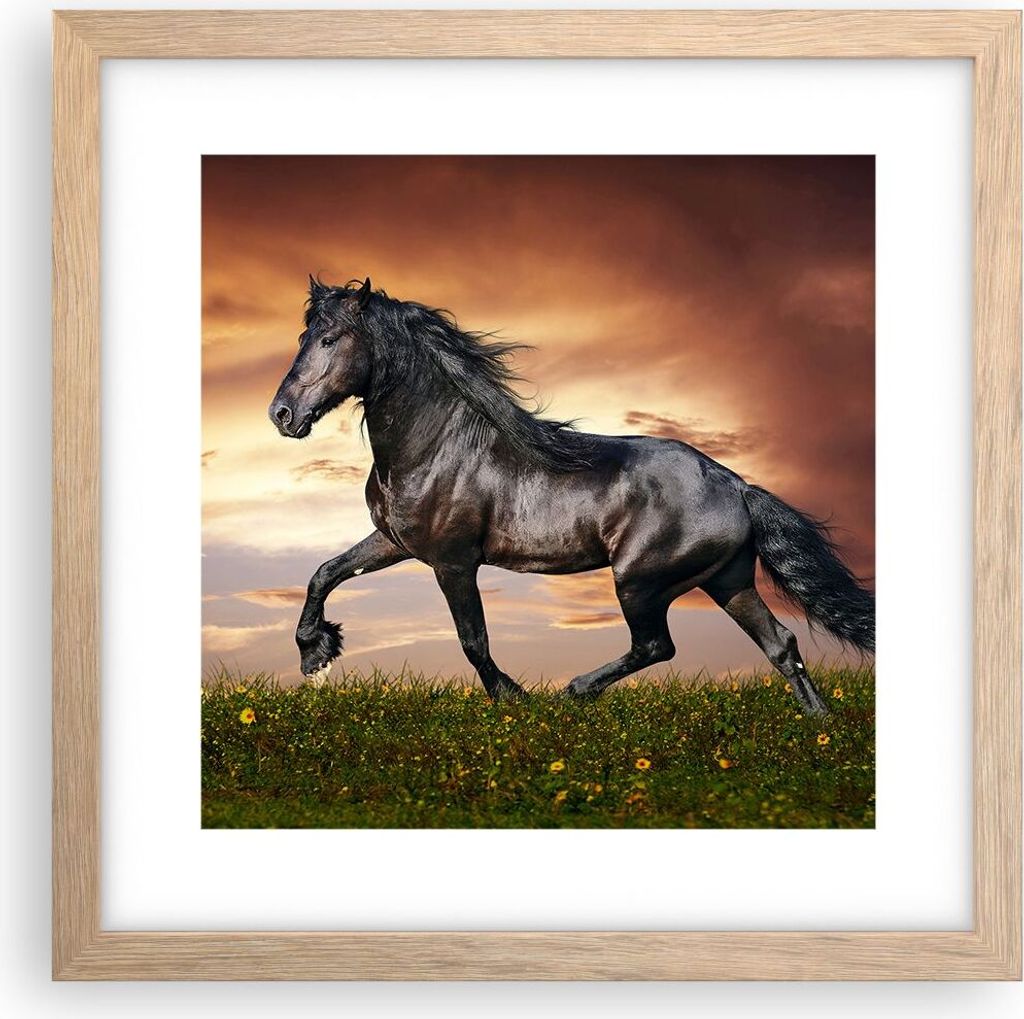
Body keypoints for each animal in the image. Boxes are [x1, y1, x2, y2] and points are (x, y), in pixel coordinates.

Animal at [269, 277, 874, 713]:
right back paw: (818, 726)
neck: (437, 445)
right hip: (727, 581)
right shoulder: (395, 541)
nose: (282, 414)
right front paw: (316, 653)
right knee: (781, 645)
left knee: (658, 646)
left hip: (640, 581)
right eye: (303, 338)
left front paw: (513, 698)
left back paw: (575, 691)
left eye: (329, 339)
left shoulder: (453, 561)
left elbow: (473, 640)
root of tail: (737, 486)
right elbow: (325, 572)